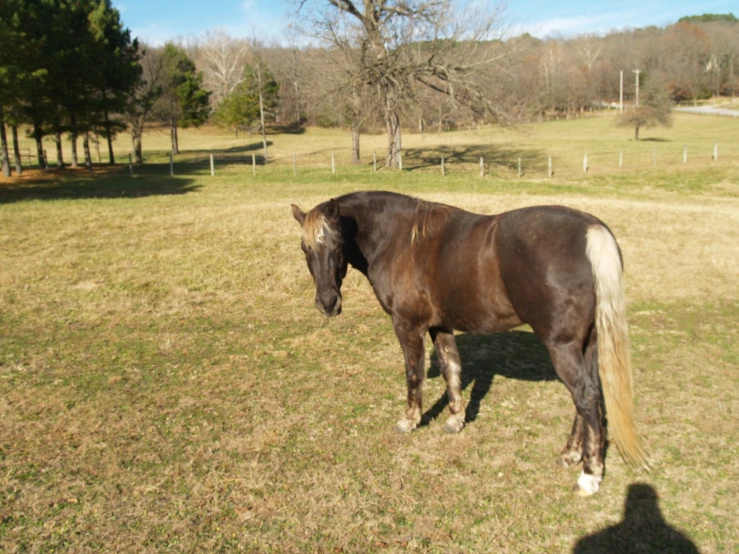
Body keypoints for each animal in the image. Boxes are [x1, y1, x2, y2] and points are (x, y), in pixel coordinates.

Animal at [292, 189, 652, 492]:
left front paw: (409, 420)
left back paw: (590, 474)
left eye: (338, 246)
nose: (327, 303)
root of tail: (592, 231)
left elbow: (414, 374)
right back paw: (570, 454)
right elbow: (451, 368)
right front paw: (455, 420)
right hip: (586, 344)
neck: (402, 240)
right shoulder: (440, 326)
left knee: (585, 397)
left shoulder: (408, 326)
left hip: (562, 346)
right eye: (306, 249)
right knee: (588, 396)